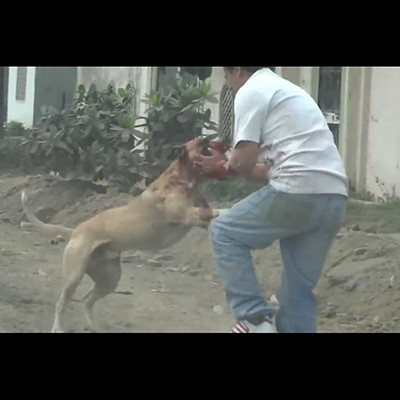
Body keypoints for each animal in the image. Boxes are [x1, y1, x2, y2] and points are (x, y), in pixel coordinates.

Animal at [21, 139, 225, 332]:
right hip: (74, 276)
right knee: (62, 303)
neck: (180, 180)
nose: (215, 140)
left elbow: (210, 213)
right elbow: (212, 211)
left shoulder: (198, 217)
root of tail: (76, 231)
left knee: (87, 300)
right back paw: (58, 328)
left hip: (110, 279)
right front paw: (225, 210)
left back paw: (93, 326)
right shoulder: (187, 214)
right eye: (198, 141)